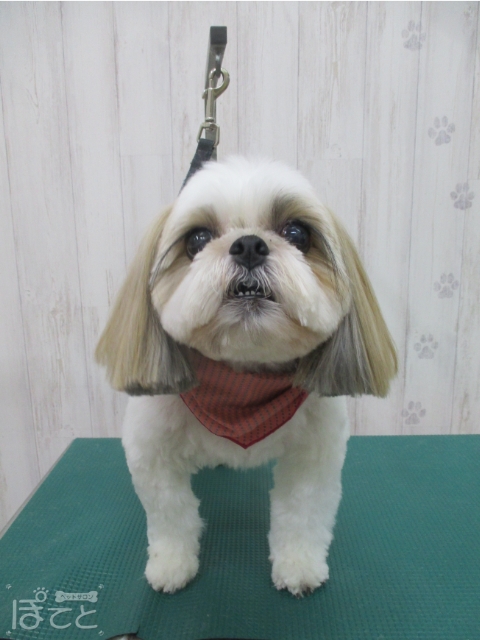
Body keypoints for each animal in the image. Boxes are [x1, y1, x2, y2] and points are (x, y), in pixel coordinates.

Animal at [96, 157, 397, 596]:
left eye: (296, 233)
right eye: (197, 239)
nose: (249, 245)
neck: (240, 385)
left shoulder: (315, 455)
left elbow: (302, 512)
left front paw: (299, 564)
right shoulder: (151, 453)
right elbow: (170, 513)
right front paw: (172, 564)